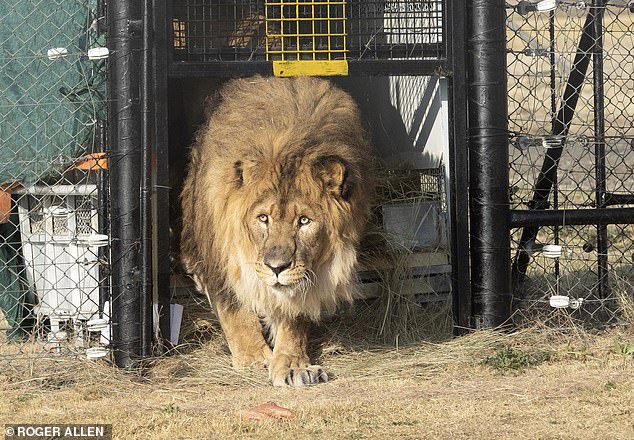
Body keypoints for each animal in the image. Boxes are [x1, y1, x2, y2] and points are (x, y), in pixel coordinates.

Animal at [180, 75, 372, 384]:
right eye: (263, 218)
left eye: (304, 221)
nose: (277, 267)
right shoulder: (217, 258)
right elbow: (235, 311)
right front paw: (253, 358)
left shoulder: (306, 274)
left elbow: (294, 316)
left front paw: (293, 365)